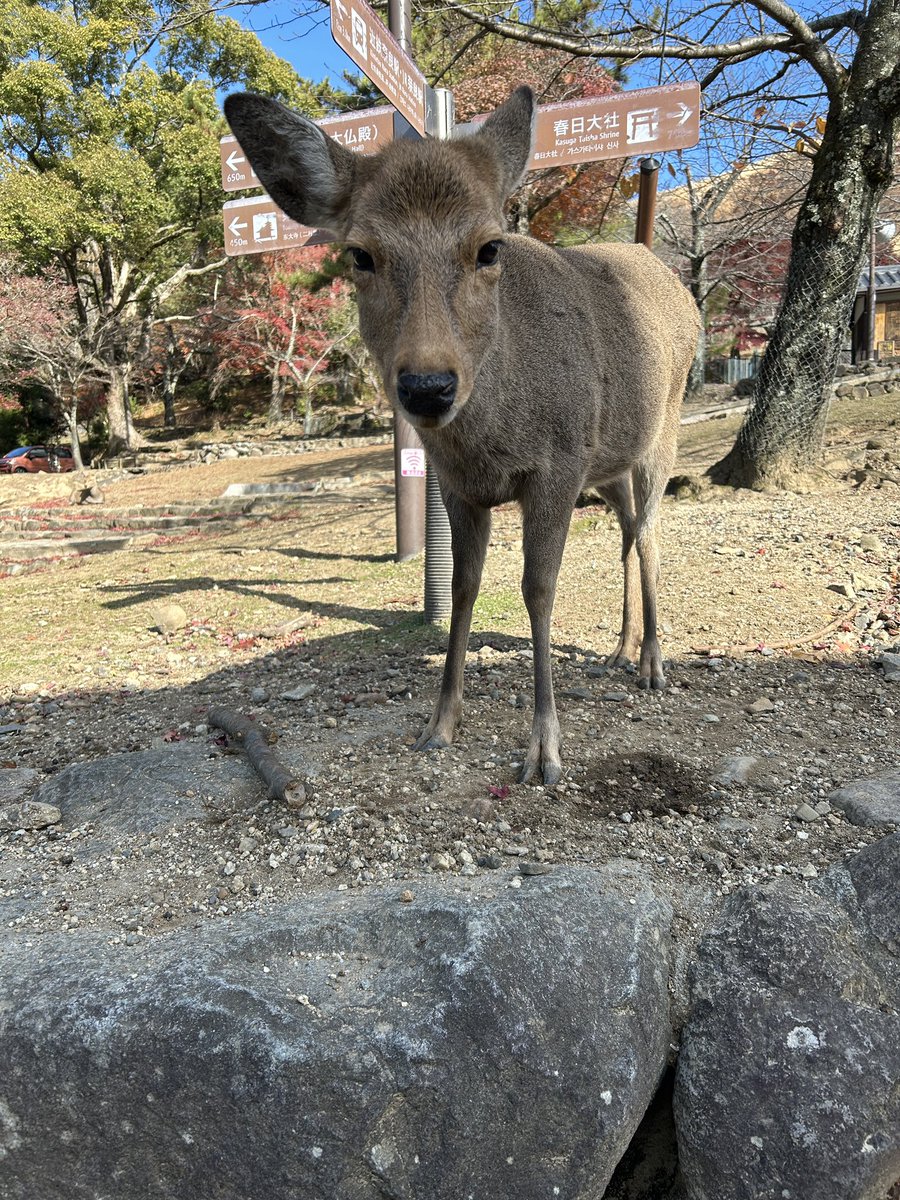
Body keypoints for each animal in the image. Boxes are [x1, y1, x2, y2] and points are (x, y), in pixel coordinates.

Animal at [224, 86, 700, 786]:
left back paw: (654, 665)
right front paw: (439, 723)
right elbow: (462, 589)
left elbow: (538, 589)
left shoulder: (558, 464)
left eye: (490, 248)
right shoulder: (459, 485)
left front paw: (545, 749)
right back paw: (620, 648)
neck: (492, 442)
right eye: (359, 253)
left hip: (659, 434)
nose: (428, 386)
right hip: (607, 466)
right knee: (626, 534)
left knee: (649, 538)